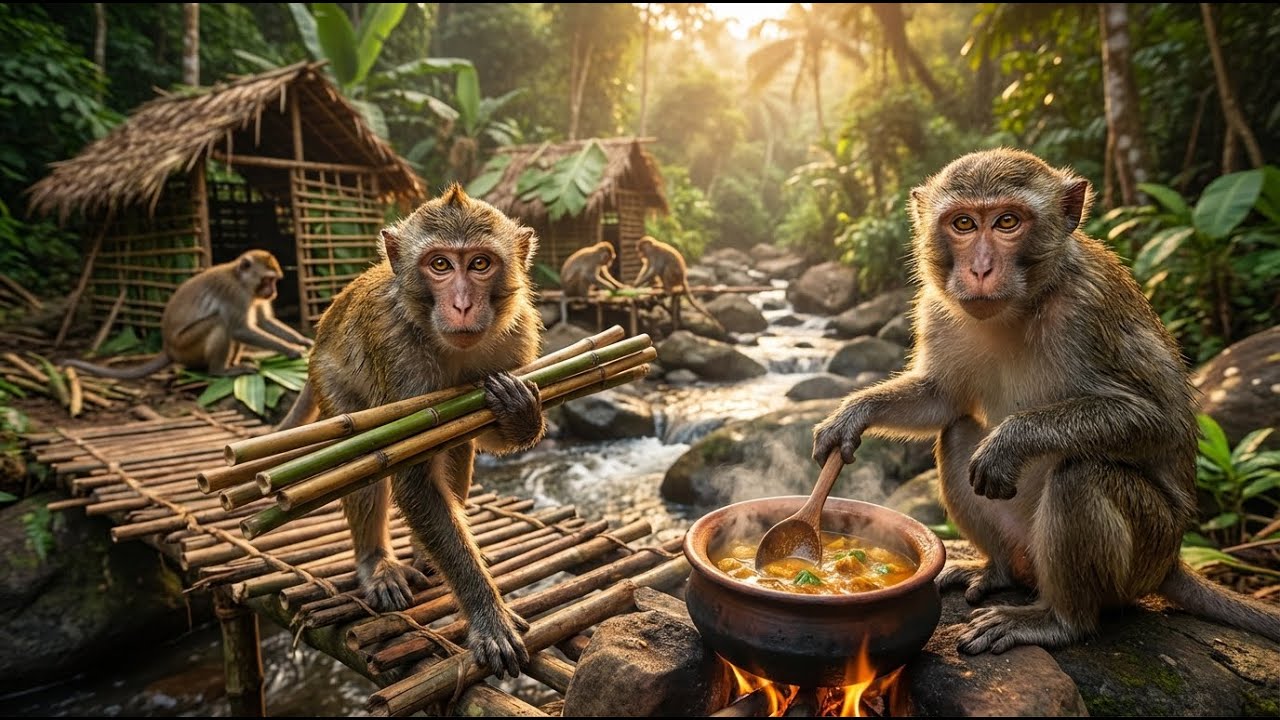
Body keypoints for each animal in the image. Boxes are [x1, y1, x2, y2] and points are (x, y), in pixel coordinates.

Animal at [63, 249, 312, 379]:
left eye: (274, 281)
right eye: (268, 280)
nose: (273, 291)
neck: (241, 280)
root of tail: (168, 348)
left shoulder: (252, 296)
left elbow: (263, 321)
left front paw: (302, 341)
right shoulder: (234, 294)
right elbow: (241, 329)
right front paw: (291, 349)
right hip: (186, 347)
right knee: (221, 323)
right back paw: (220, 371)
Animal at [277, 183, 545, 678]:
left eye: (480, 263)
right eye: (440, 265)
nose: (462, 305)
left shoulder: (517, 338)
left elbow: (484, 433)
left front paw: (521, 412)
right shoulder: (396, 352)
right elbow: (411, 475)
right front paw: (489, 616)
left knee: (455, 446)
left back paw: (423, 552)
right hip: (332, 383)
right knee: (362, 463)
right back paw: (376, 564)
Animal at [812, 148, 1280, 655]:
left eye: (1007, 222)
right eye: (963, 224)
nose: (979, 269)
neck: (1022, 305)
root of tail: (1172, 559)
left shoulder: (1089, 307)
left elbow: (1160, 419)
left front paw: (1011, 441)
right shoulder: (936, 307)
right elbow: (942, 399)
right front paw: (852, 415)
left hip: (1147, 546)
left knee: (1081, 475)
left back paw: (1057, 620)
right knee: (957, 432)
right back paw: (996, 569)